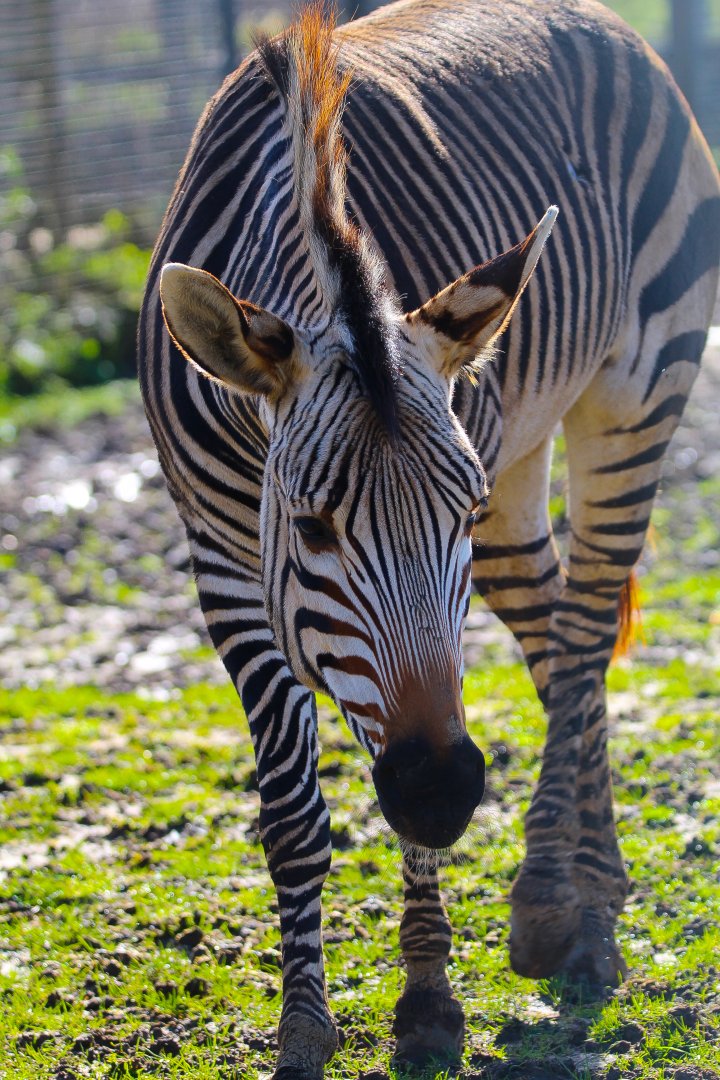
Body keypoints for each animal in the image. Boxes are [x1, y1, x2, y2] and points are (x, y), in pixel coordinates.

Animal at [138, 1, 720, 1075]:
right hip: (520, 456)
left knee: (583, 636)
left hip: (636, 392)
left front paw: (425, 1000)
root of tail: (605, 20)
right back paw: (598, 892)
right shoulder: (220, 559)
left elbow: (404, 785)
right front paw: (303, 1025)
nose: (448, 791)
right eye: (313, 525)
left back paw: (551, 907)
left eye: (454, 512)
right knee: (555, 646)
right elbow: (294, 812)